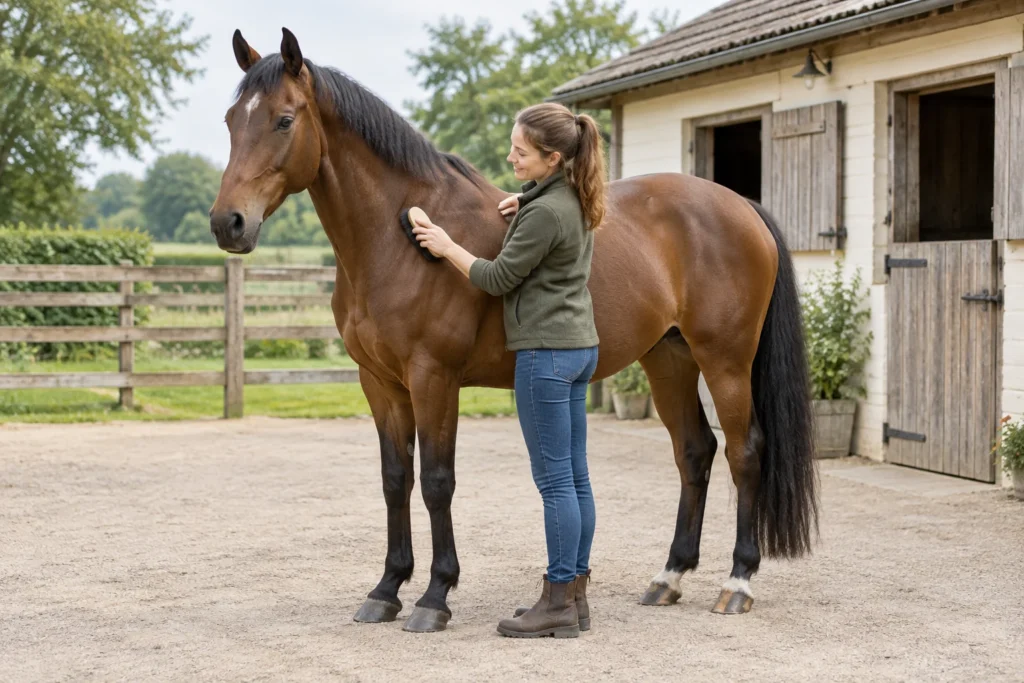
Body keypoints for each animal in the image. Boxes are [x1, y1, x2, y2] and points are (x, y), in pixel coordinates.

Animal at [210, 28, 818, 633]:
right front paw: (386, 589)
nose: (227, 223)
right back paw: (668, 578)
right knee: (694, 451)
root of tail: (743, 205)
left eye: (284, 120)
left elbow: (437, 481)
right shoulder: (379, 383)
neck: (396, 238)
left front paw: (435, 596)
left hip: (725, 361)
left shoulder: (433, 378)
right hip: (668, 358)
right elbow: (394, 480)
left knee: (744, 453)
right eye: (230, 120)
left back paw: (736, 582)